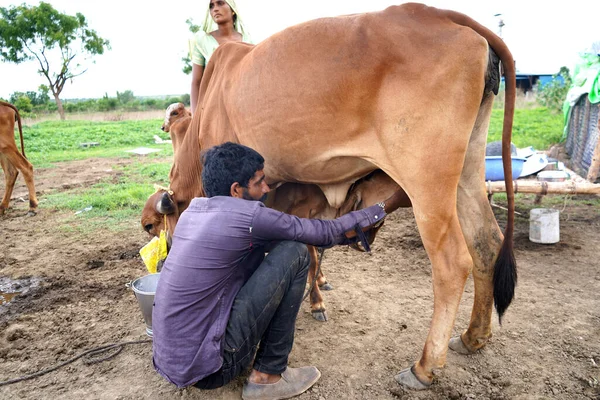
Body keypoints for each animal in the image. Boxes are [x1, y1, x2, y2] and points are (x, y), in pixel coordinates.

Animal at [141, 3, 516, 390]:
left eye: (150, 225)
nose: (165, 263)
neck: (204, 120)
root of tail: (442, 14)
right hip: (467, 169)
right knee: (487, 244)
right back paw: (473, 337)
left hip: (426, 178)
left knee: (453, 262)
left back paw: (424, 366)